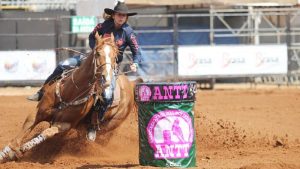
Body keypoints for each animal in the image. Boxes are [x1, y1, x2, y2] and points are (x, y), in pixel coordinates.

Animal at [0, 32, 141, 163]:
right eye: (97, 53)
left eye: (115, 56)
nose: (106, 78)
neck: (70, 92)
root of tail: (130, 84)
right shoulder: (39, 112)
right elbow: (25, 127)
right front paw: (7, 153)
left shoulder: (65, 124)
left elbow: (47, 133)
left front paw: (24, 148)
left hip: (112, 123)